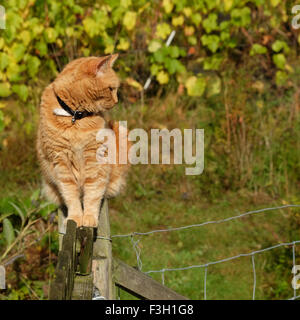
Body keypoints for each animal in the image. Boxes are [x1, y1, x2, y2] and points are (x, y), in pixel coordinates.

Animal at [36, 56, 129, 229]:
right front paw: (75, 218)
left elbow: (93, 193)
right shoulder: (61, 163)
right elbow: (71, 196)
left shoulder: (95, 160)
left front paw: (89, 218)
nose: (116, 101)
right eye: (111, 89)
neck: (75, 116)